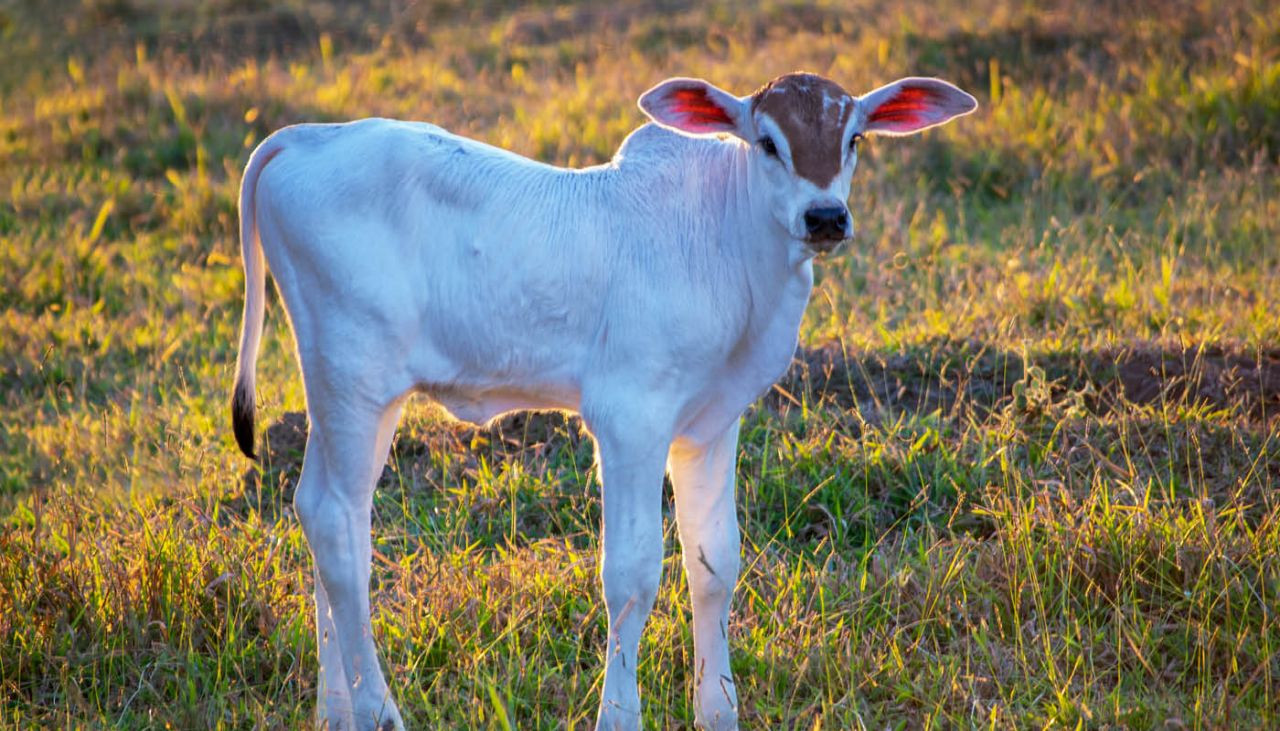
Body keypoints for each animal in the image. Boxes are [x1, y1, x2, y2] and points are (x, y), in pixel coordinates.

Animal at [235, 71, 977, 727]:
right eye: (767, 142)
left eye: (854, 138)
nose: (825, 216)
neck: (728, 242)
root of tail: (305, 138)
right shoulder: (630, 419)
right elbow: (632, 575)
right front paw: (620, 715)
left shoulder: (711, 426)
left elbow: (714, 564)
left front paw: (719, 712)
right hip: (353, 376)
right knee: (337, 525)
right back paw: (377, 711)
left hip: (344, 390)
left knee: (327, 517)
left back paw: (336, 711)